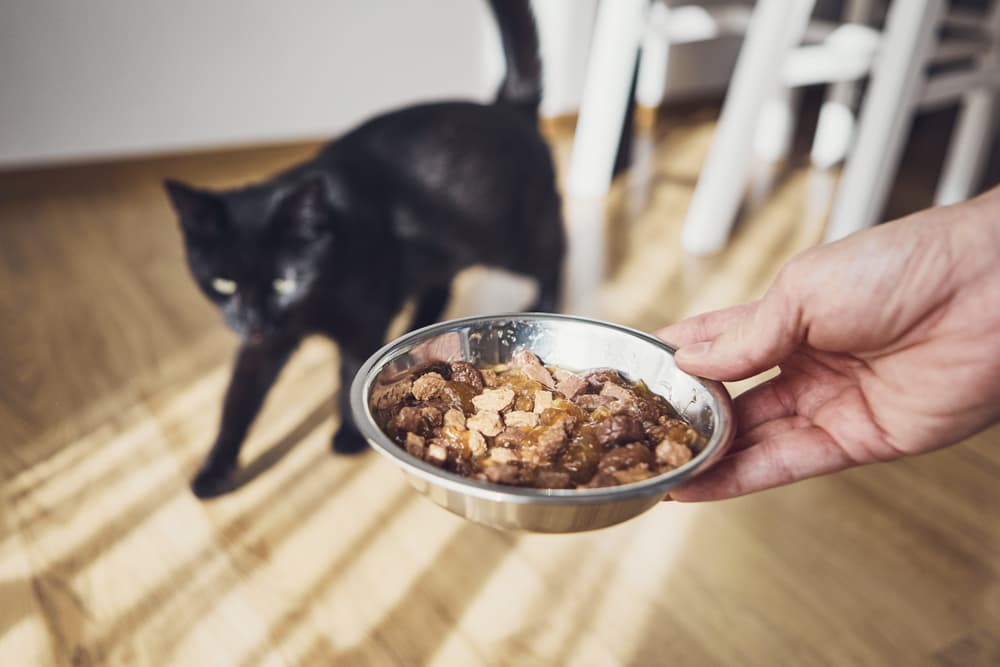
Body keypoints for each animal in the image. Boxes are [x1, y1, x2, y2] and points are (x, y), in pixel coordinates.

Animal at [168, 0, 568, 500]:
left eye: (284, 281)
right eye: (223, 283)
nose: (252, 320)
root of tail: (507, 106)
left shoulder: (362, 322)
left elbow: (347, 375)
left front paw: (346, 435)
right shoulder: (265, 344)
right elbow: (237, 400)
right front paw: (215, 469)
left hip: (511, 239)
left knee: (555, 252)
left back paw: (548, 302)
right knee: (440, 283)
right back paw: (421, 327)